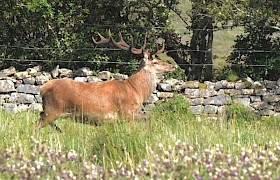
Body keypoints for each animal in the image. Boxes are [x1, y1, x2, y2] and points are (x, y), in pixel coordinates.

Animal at [34, 31, 175, 131]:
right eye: (155, 62)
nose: (172, 66)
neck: (136, 91)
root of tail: (43, 88)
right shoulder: (126, 112)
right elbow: (149, 117)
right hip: (52, 109)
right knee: (34, 125)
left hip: (48, 110)